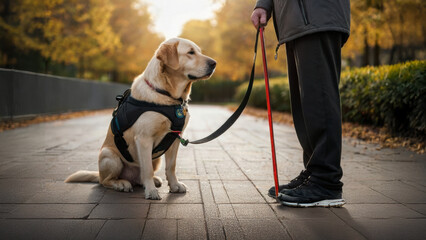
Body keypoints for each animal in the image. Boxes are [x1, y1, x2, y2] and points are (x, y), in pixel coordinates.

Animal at [65, 38, 216, 199]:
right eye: (190, 52)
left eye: (199, 51)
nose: (214, 63)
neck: (167, 96)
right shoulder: (144, 139)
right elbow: (147, 169)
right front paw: (151, 191)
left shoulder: (175, 138)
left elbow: (171, 166)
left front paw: (175, 185)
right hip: (109, 156)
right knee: (106, 181)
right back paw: (122, 184)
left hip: (156, 159)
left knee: (139, 178)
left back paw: (152, 180)